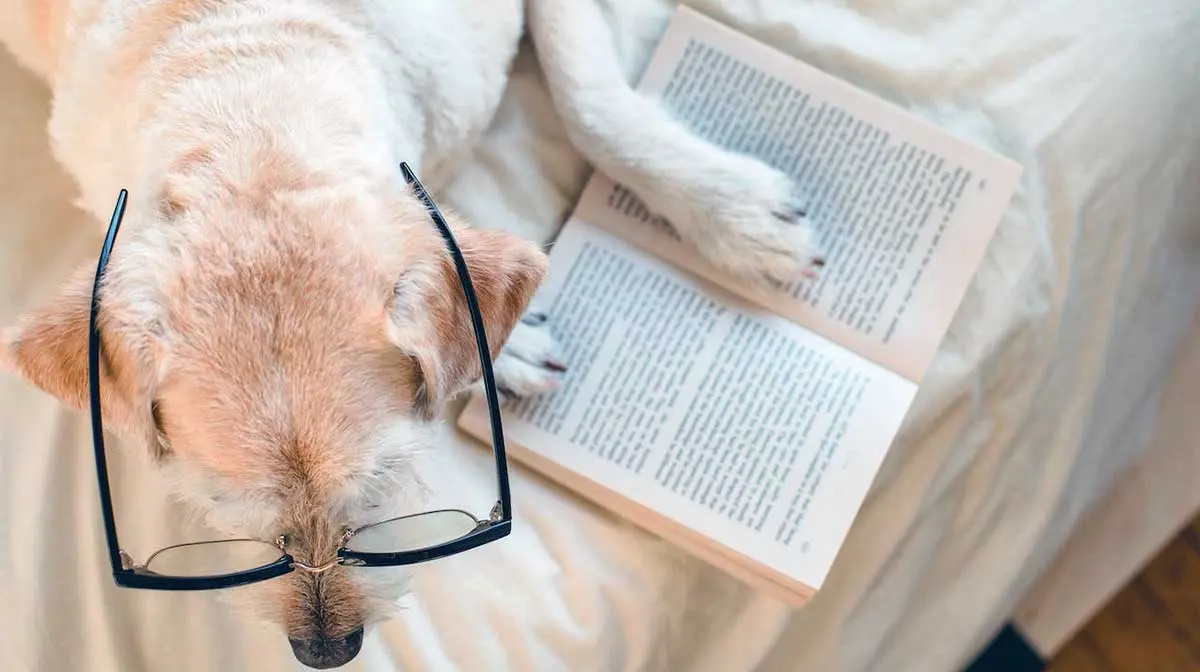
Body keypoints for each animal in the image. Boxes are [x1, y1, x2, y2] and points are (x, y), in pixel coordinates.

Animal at [0, 2, 820, 667]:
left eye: (382, 486)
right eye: (221, 505)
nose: (326, 652)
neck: (247, 97)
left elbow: (588, 100)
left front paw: (732, 212)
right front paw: (507, 350)